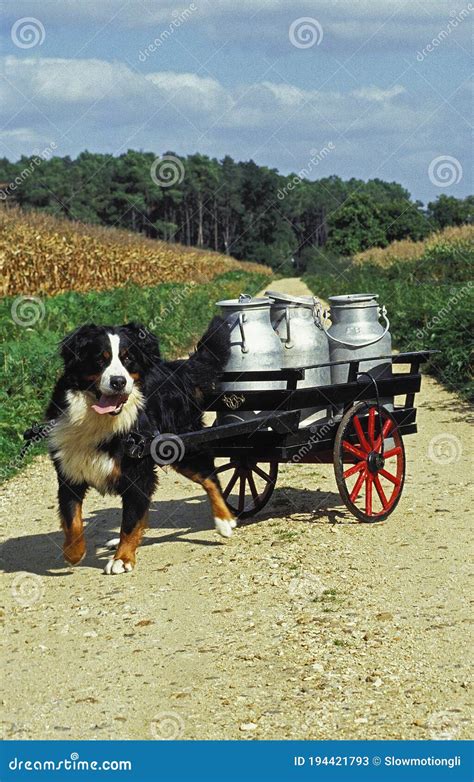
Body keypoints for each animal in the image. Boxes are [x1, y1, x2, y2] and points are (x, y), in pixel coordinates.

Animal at [46, 318, 235, 576]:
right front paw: (73, 552)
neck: (100, 422)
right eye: (100, 358)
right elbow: (71, 518)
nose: (118, 381)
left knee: (209, 478)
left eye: (128, 358)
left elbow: (130, 520)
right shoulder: (69, 471)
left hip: (183, 448)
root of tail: (174, 369)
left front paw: (122, 558)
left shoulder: (137, 473)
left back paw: (224, 520)